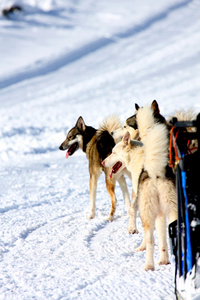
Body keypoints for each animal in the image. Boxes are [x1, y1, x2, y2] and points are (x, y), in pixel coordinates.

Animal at [102, 132, 177, 270]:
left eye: (113, 152)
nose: (103, 162)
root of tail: (155, 172)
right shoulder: (160, 213)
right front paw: (164, 259)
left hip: (148, 209)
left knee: (150, 239)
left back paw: (149, 265)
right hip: (171, 210)